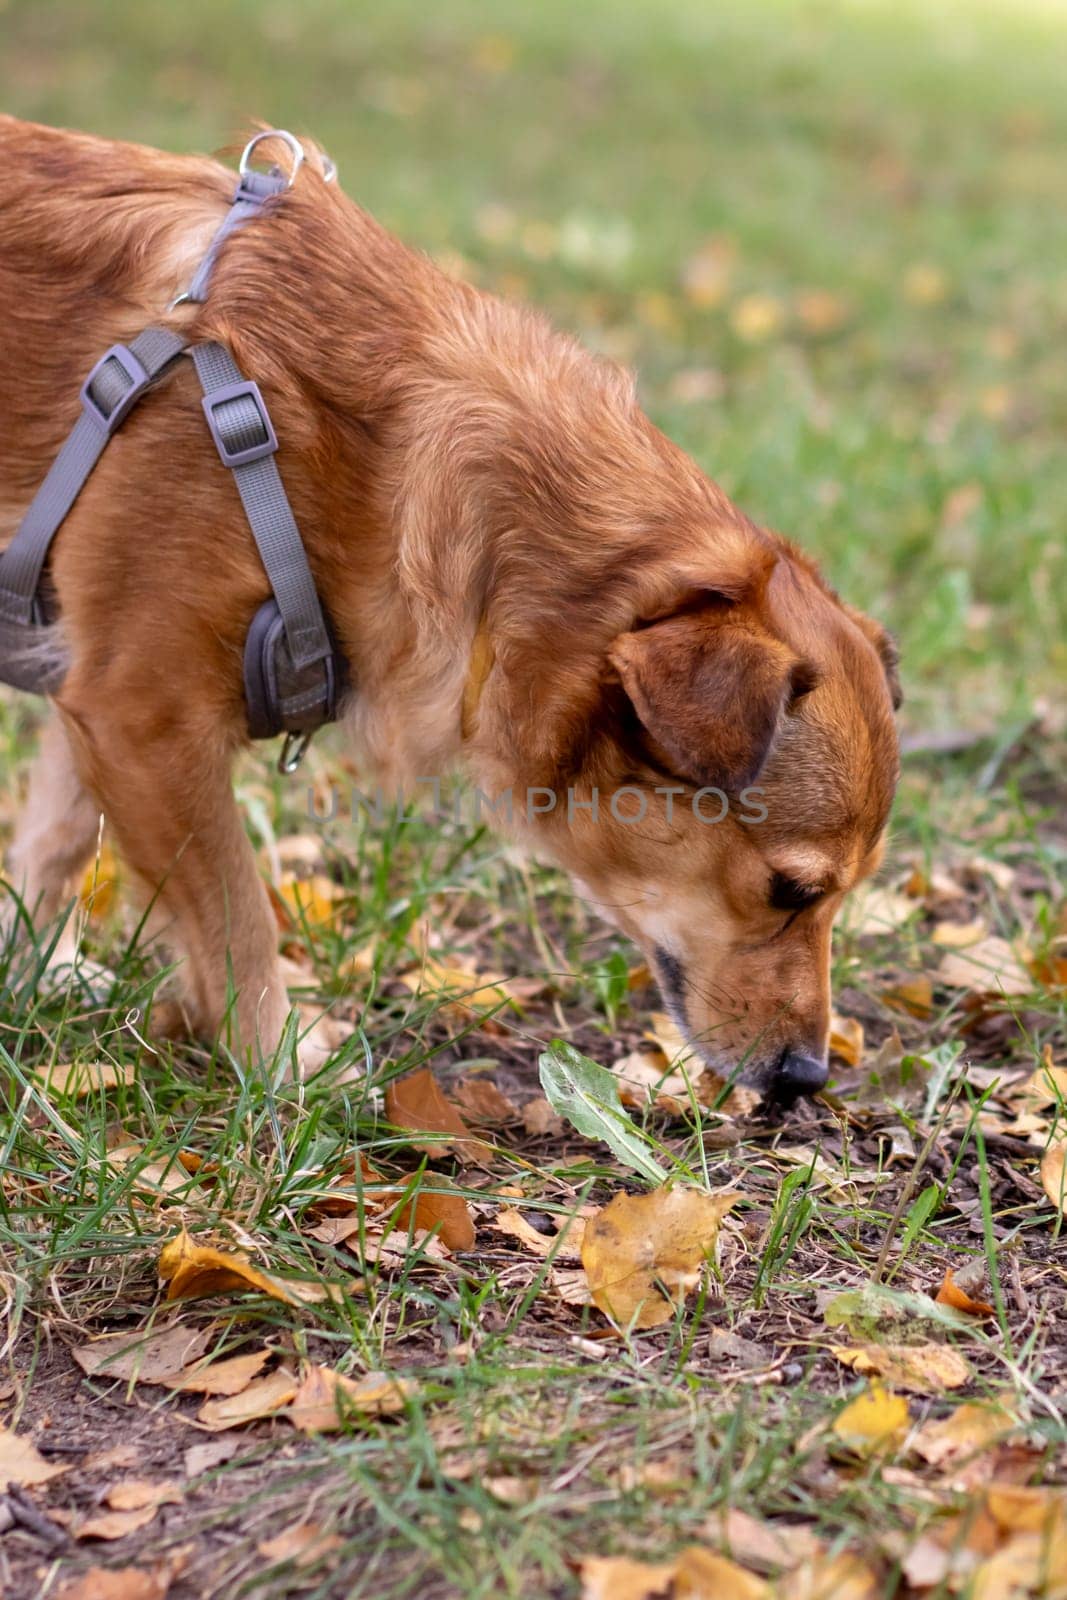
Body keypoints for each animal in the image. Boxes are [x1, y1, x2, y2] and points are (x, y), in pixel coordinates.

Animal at [0, 118, 902, 1094]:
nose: (807, 1079)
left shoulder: (97, 695)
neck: (380, 457)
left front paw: (32, 968)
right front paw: (280, 1060)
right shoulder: (144, 714)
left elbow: (55, 839)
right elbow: (237, 920)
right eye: (791, 892)